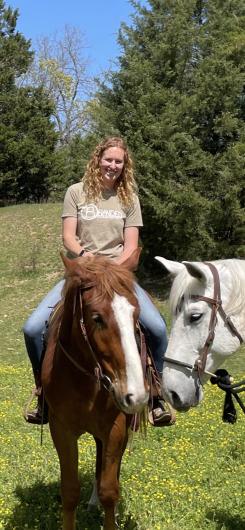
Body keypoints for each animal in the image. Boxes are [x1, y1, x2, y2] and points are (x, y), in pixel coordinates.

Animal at [41, 251, 148, 528]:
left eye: (136, 315)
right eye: (97, 318)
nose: (136, 396)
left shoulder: (115, 427)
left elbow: (110, 490)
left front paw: (109, 509)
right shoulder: (61, 429)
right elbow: (69, 492)